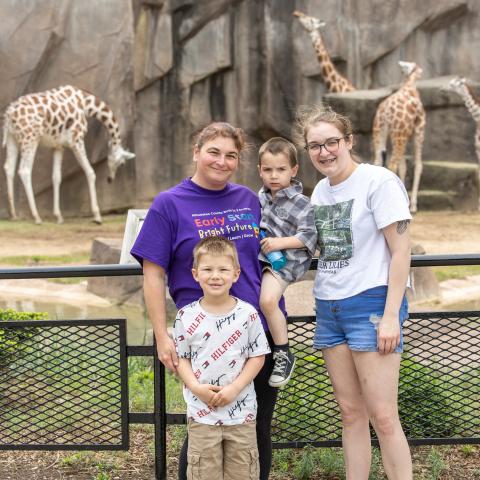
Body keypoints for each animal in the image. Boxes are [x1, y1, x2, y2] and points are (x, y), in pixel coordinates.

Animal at [2, 85, 135, 224]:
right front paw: (97, 216)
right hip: (30, 139)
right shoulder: (77, 141)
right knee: (24, 170)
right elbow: (90, 173)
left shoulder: (58, 147)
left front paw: (59, 216)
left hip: (12, 138)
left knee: (9, 168)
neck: (85, 104)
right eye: (122, 163)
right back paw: (36, 217)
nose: (110, 179)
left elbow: (56, 177)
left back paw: (13, 214)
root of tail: (9, 114)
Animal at [372, 61, 424, 213]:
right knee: (392, 164)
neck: (409, 85)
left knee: (379, 161)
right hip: (399, 136)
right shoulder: (419, 131)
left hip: (380, 133)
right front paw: (413, 205)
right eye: (415, 67)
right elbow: (418, 165)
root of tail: (385, 113)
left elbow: (403, 166)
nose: (421, 72)